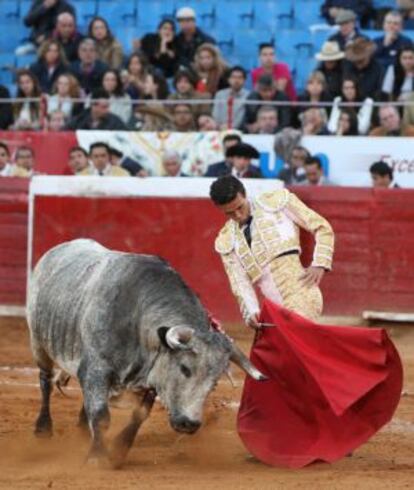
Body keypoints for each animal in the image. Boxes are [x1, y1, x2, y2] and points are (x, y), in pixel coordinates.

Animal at [27, 240, 266, 468]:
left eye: (215, 380)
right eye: (184, 368)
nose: (189, 424)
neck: (137, 320)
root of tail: (54, 252)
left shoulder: (151, 376)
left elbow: (139, 414)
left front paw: (118, 451)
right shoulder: (97, 368)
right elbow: (101, 414)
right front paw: (97, 457)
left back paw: (83, 430)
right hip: (38, 343)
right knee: (46, 381)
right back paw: (43, 428)